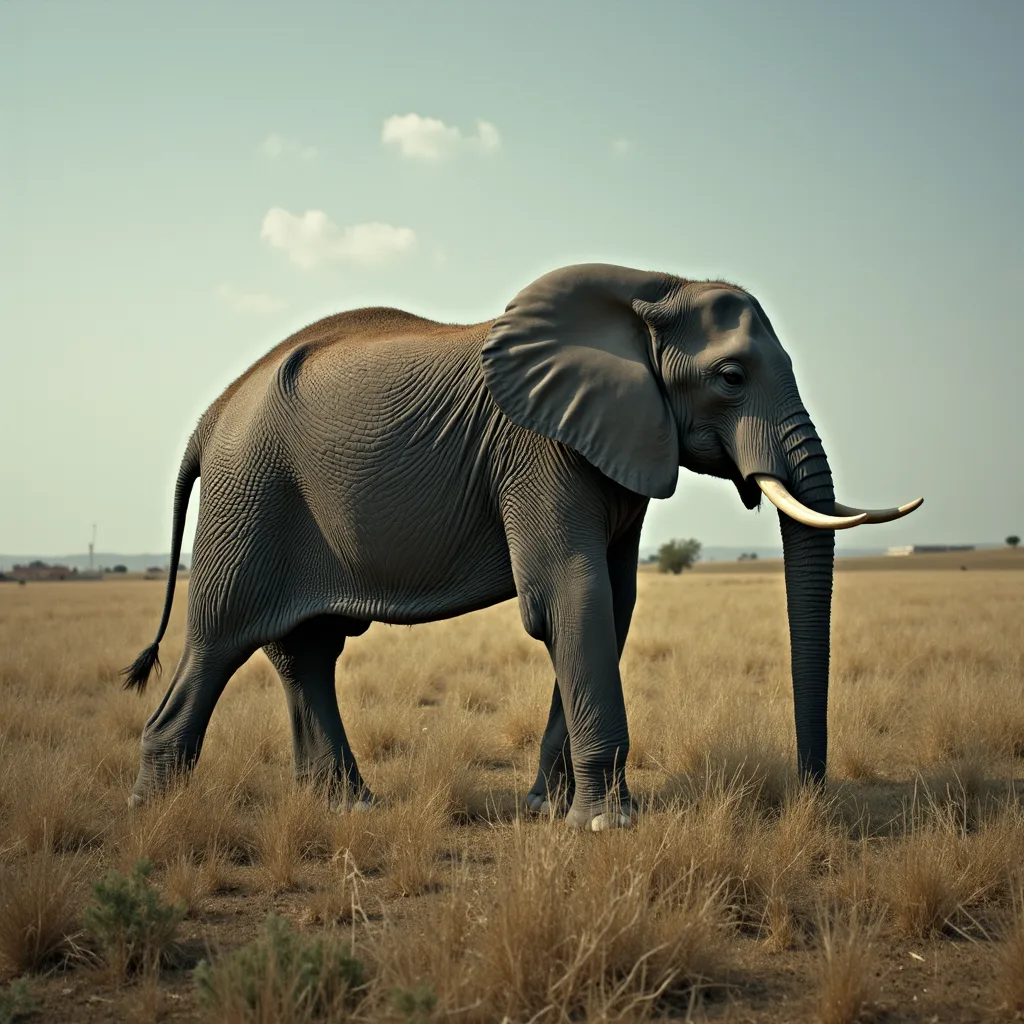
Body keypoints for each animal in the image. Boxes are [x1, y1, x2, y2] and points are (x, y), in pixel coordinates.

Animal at [123, 263, 921, 830]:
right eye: (730, 376)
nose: (810, 796)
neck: (649, 288)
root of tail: (211, 415)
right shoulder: (540, 450)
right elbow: (572, 594)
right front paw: (606, 825)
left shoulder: (614, 444)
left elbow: (612, 604)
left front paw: (553, 809)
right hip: (251, 498)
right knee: (219, 642)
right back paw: (157, 814)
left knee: (309, 650)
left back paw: (347, 806)